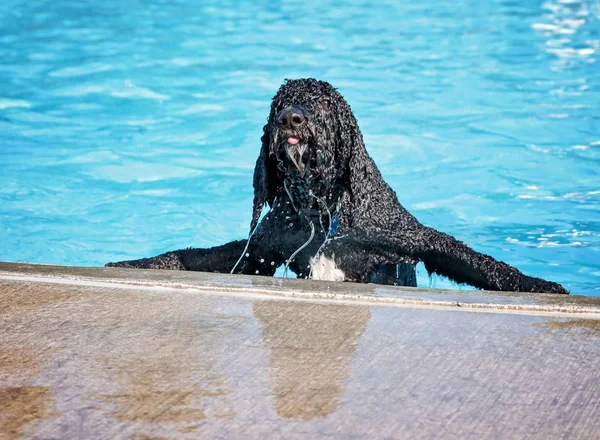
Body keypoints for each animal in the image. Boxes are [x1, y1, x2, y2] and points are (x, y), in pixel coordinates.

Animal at [106, 78, 568, 296]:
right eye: (279, 103)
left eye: (324, 104)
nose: (291, 118)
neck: (322, 209)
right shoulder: (264, 247)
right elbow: (197, 256)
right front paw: (133, 264)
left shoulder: (406, 238)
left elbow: (478, 262)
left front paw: (541, 286)